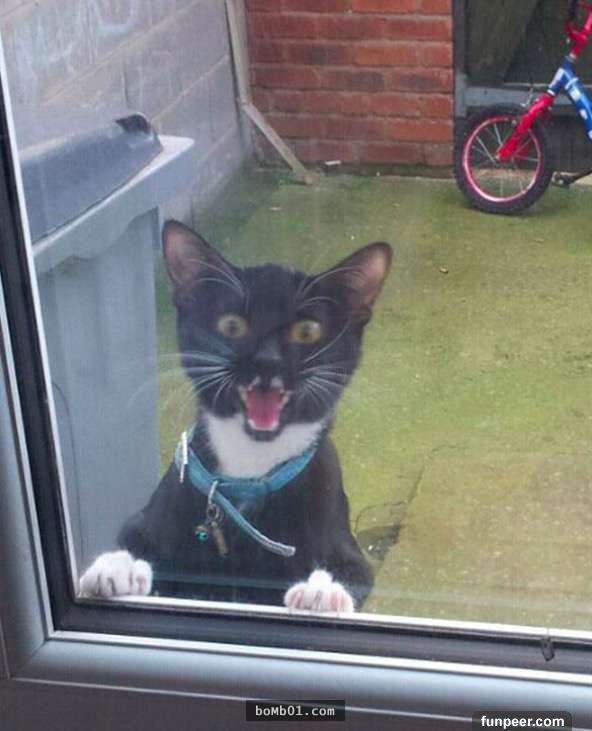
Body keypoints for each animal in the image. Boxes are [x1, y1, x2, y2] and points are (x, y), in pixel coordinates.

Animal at [79, 220, 392, 612]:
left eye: (307, 331)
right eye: (232, 325)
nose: (267, 361)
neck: (250, 464)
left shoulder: (343, 541)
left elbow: (352, 571)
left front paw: (322, 591)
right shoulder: (156, 513)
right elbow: (134, 537)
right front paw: (115, 567)